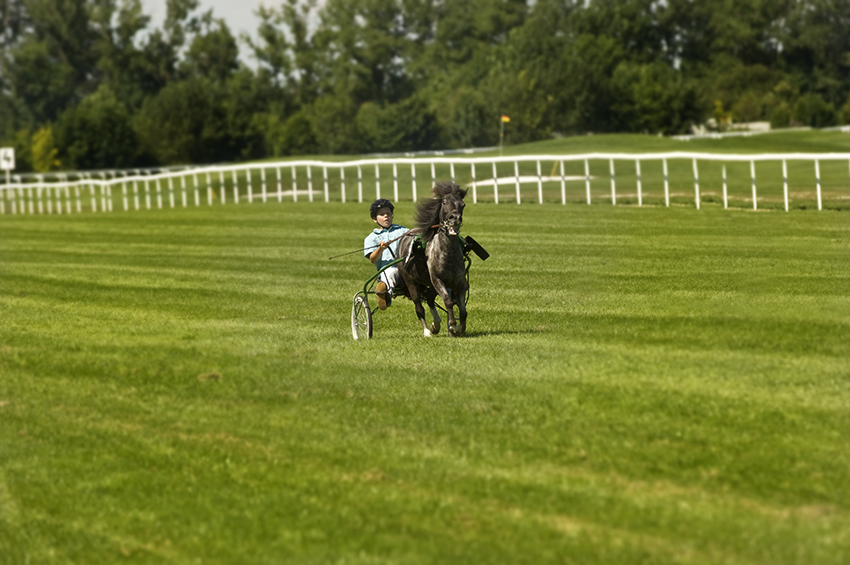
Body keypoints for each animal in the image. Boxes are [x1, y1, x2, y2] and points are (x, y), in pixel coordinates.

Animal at [398, 181, 470, 334]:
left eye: (462, 204)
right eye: (444, 202)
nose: (455, 218)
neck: (448, 254)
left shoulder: (459, 282)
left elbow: (462, 309)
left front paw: (460, 328)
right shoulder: (437, 280)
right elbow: (448, 301)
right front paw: (452, 325)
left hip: (429, 284)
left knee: (430, 298)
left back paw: (435, 325)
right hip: (411, 281)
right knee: (419, 307)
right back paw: (427, 331)